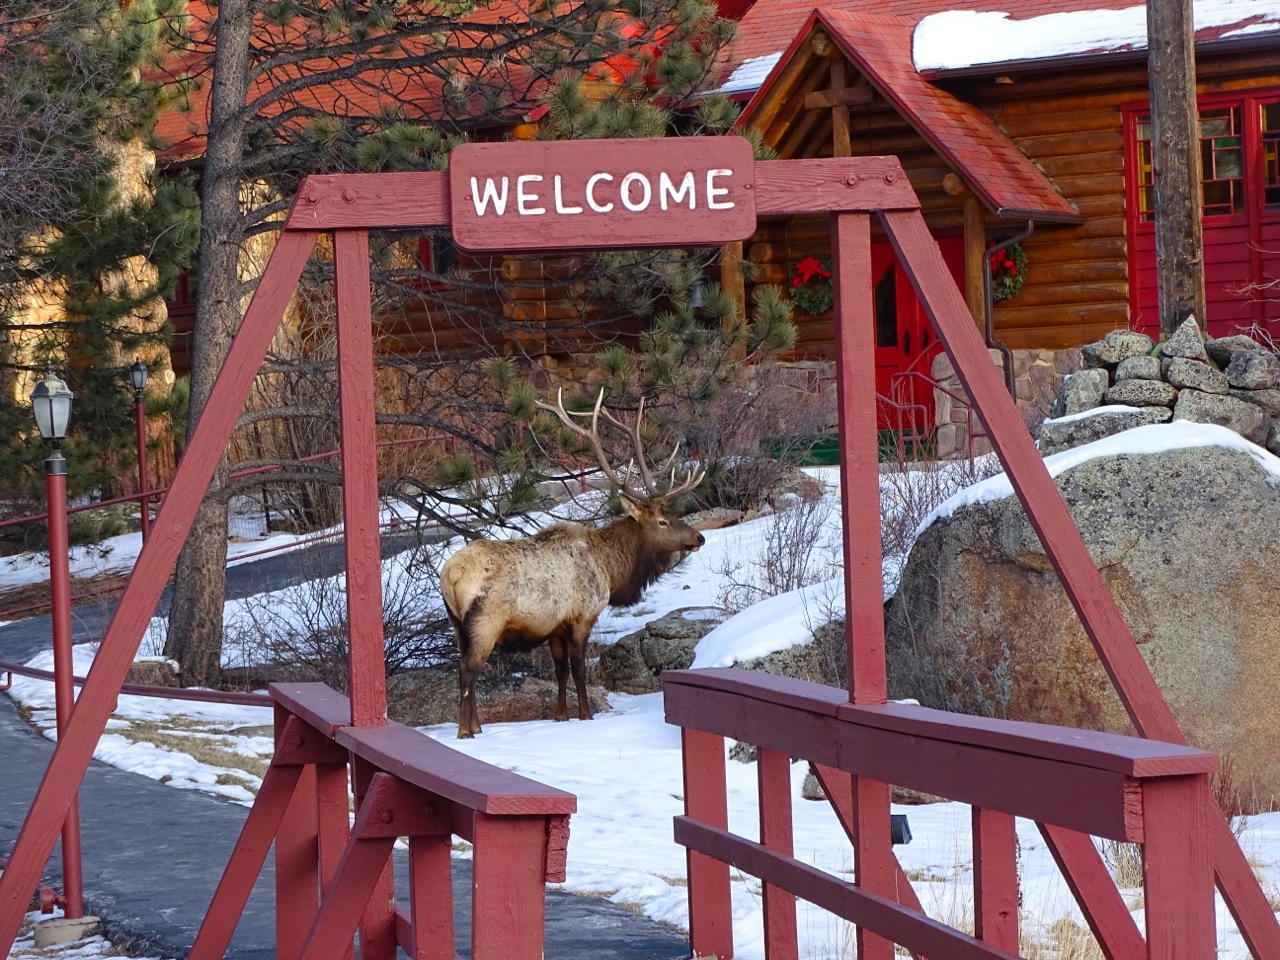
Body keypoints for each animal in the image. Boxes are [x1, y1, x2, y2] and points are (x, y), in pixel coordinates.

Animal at [437, 391, 701, 737]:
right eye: (662, 521)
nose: (699, 537)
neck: (611, 569)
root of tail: (450, 576)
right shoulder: (582, 615)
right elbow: (578, 670)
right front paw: (586, 715)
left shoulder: (555, 628)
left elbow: (560, 671)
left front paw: (560, 716)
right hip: (485, 621)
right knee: (467, 669)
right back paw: (466, 731)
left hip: (456, 624)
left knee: (463, 666)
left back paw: (477, 727)